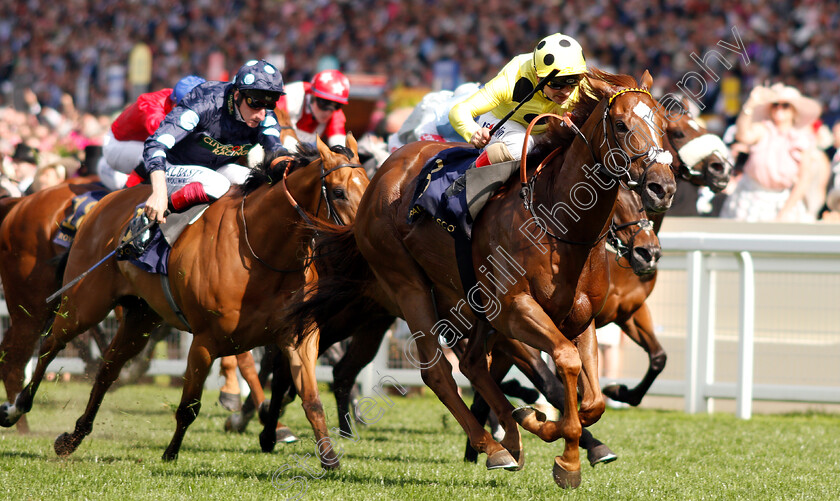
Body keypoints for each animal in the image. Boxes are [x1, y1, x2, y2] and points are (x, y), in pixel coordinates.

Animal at [0, 135, 368, 466]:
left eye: (369, 187)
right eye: (338, 192)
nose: (365, 241)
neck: (262, 251)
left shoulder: (298, 336)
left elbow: (311, 398)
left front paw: (328, 457)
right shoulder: (205, 340)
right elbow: (190, 405)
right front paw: (171, 453)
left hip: (140, 317)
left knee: (106, 369)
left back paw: (72, 438)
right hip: (80, 303)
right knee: (46, 347)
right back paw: (16, 410)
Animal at [282, 68, 676, 486]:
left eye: (663, 125)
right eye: (620, 124)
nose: (662, 188)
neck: (557, 224)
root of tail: (381, 174)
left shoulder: (579, 318)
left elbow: (592, 399)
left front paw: (553, 428)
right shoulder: (515, 310)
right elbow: (564, 366)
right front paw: (566, 457)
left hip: (461, 306)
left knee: (471, 365)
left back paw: (511, 436)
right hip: (407, 286)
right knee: (437, 372)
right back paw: (493, 446)